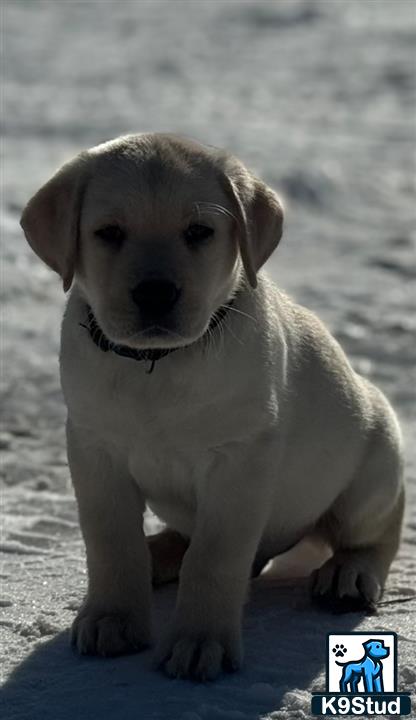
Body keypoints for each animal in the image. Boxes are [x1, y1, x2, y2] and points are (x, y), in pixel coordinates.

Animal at [21, 134, 404, 680]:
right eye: (109, 232)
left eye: (199, 232)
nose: (155, 292)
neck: (156, 365)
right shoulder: (95, 450)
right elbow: (111, 543)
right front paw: (112, 617)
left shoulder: (239, 463)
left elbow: (214, 558)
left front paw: (201, 641)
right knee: (180, 538)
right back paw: (158, 553)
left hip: (372, 463)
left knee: (379, 530)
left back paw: (348, 574)